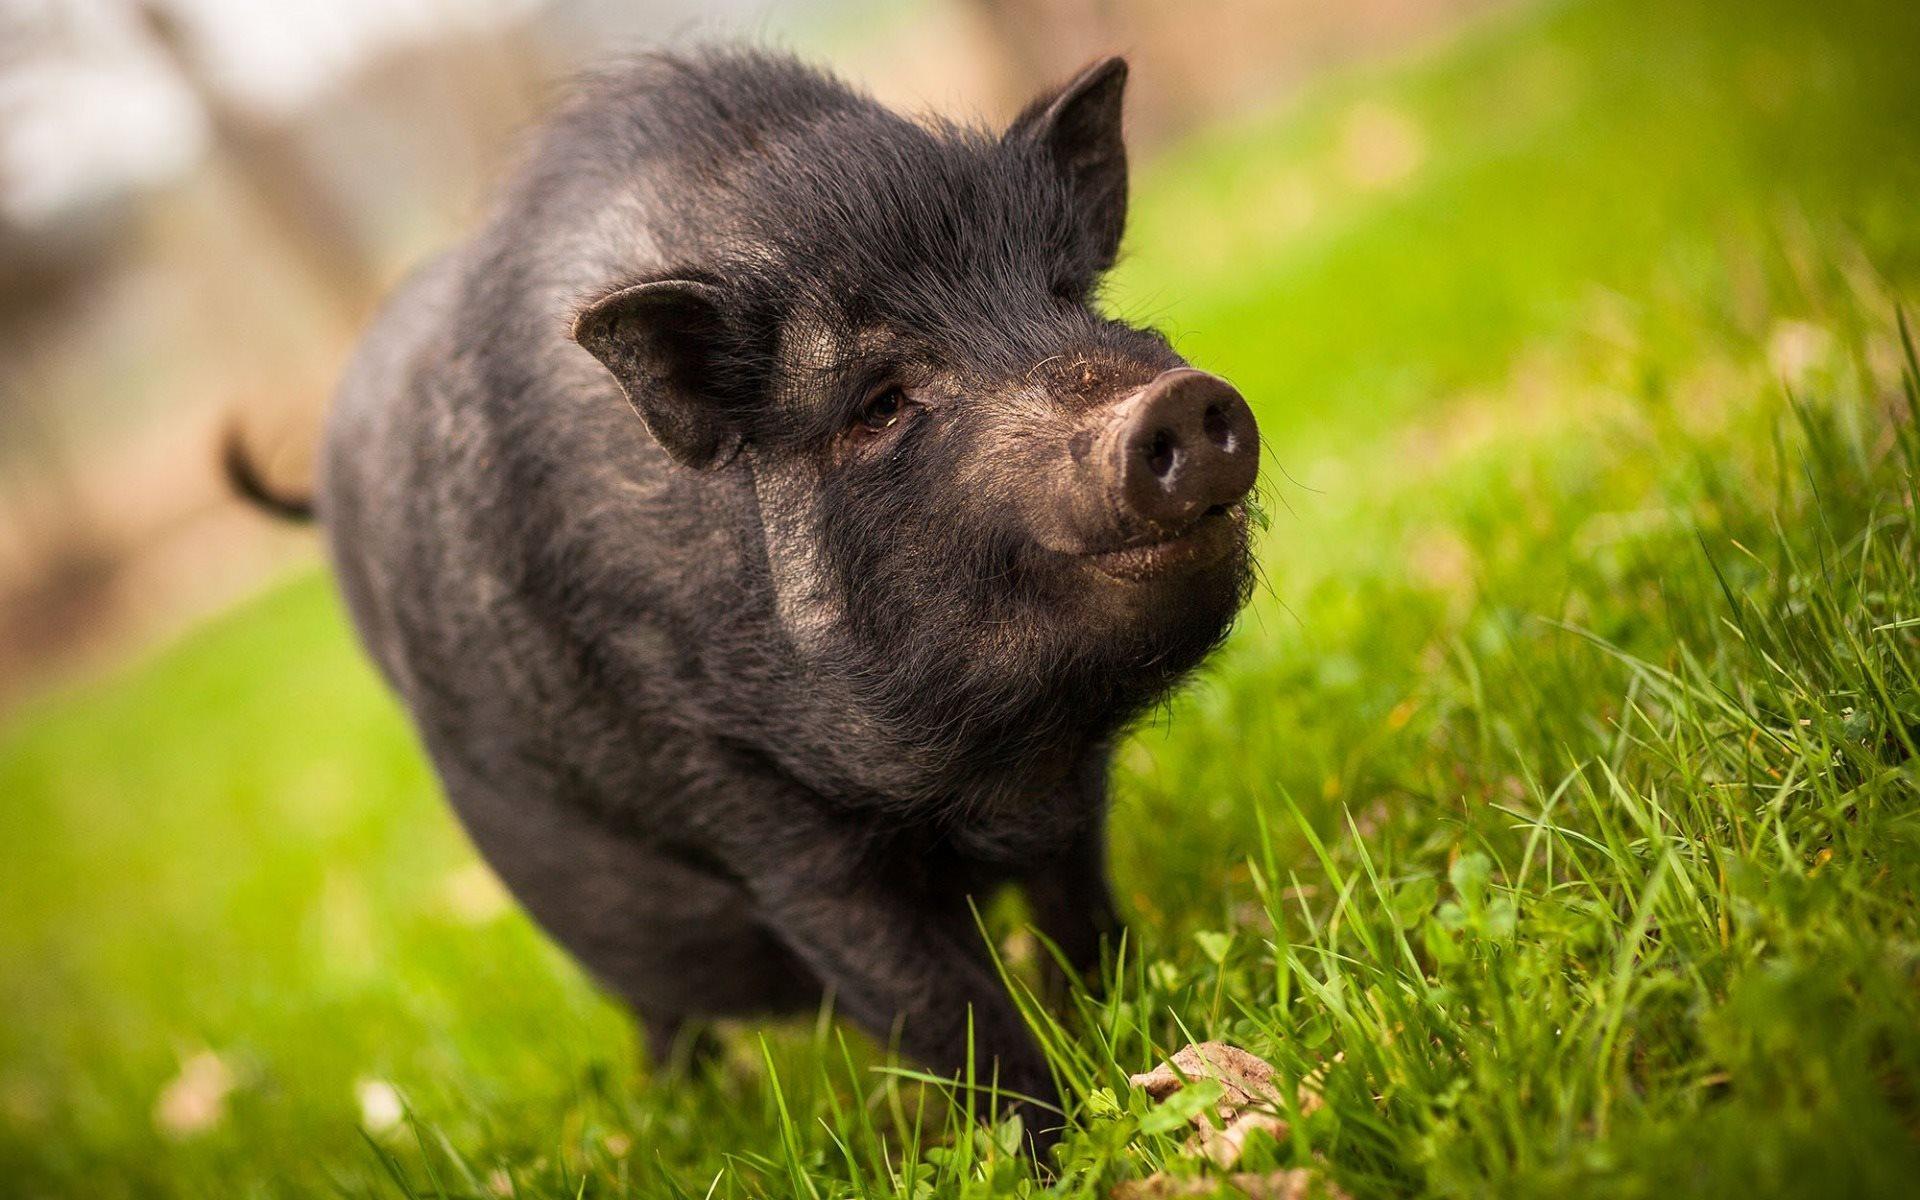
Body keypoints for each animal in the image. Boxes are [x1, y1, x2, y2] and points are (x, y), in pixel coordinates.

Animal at [237, 47, 1260, 1152]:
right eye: (879, 403)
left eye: (1071, 294)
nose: (1175, 402)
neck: (993, 768)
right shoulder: (756, 816)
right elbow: (941, 1008)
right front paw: (1047, 1146)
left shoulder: (1072, 786)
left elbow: (1082, 915)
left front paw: (1131, 1036)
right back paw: (677, 1113)